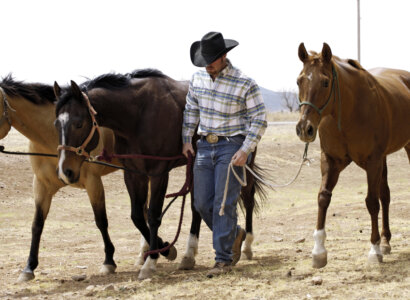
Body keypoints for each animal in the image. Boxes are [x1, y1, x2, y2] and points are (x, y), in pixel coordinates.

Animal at [0, 75, 120, 282]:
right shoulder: (41, 186)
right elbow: (37, 225)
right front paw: (29, 267)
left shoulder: (93, 182)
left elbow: (101, 220)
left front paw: (108, 262)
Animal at [53, 69, 266, 280]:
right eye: (56, 124)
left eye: (79, 124)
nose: (65, 172)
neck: (138, 116)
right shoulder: (133, 174)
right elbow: (138, 216)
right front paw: (165, 249)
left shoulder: (159, 173)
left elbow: (154, 215)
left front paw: (152, 261)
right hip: (196, 167)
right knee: (196, 207)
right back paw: (190, 255)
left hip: (243, 163)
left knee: (248, 198)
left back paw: (245, 245)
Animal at [296, 42, 408, 268]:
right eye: (298, 81)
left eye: (325, 82)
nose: (305, 129)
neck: (349, 112)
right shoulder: (330, 160)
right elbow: (323, 197)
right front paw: (319, 251)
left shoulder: (372, 162)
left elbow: (371, 202)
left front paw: (374, 250)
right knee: (386, 195)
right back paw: (386, 242)